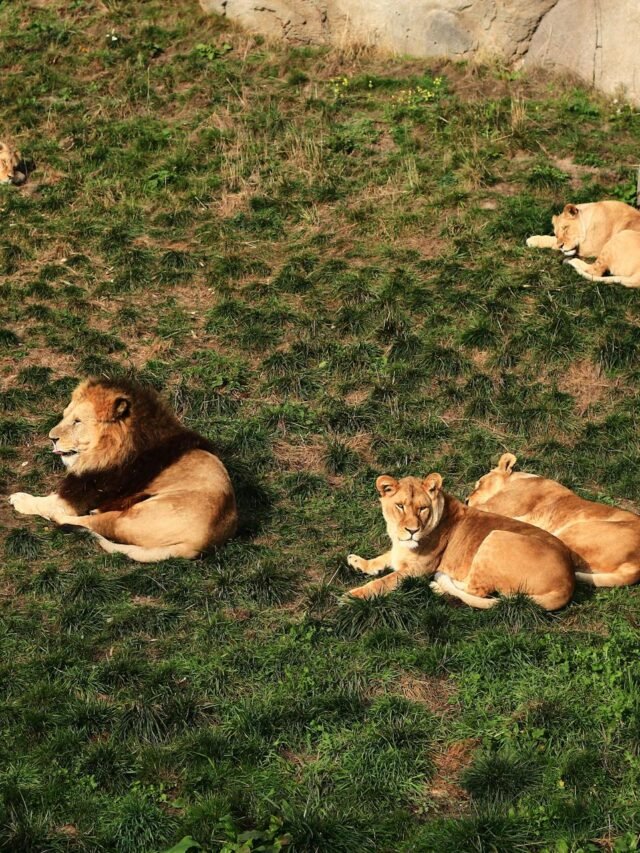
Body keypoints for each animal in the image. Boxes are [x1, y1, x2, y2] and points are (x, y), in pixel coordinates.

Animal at [9, 378, 238, 562]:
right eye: (65, 417)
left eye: (77, 421)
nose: (51, 438)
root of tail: (202, 545)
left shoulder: (78, 497)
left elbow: (43, 503)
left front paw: (19, 499)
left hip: (128, 519)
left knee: (89, 522)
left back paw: (62, 519)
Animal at [346, 472, 575, 610]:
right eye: (400, 506)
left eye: (422, 508)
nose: (412, 530)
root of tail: (568, 582)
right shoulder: (398, 551)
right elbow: (383, 558)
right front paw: (359, 562)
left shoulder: (419, 569)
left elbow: (383, 582)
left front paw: (353, 596)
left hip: (495, 536)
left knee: (478, 591)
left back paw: (438, 585)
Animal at [467, 453, 640, 588]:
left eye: (479, 483)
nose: (467, 499)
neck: (518, 478)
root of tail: (637, 563)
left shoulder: (497, 506)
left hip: (573, 533)